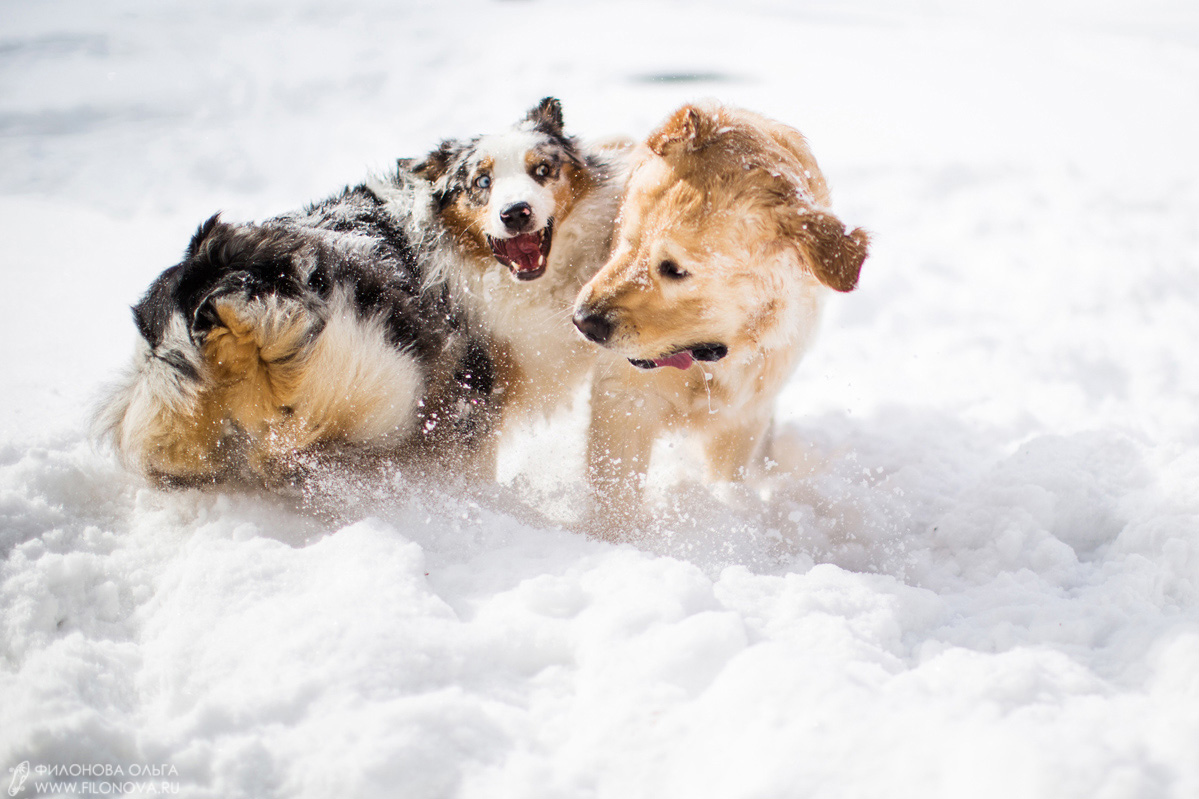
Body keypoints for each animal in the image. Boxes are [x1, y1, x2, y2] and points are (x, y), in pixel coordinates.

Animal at [573, 101, 872, 527]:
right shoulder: (624, 400)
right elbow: (617, 495)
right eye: (626, 240)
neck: (708, 359)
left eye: (674, 269)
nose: (584, 321)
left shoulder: (743, 417)